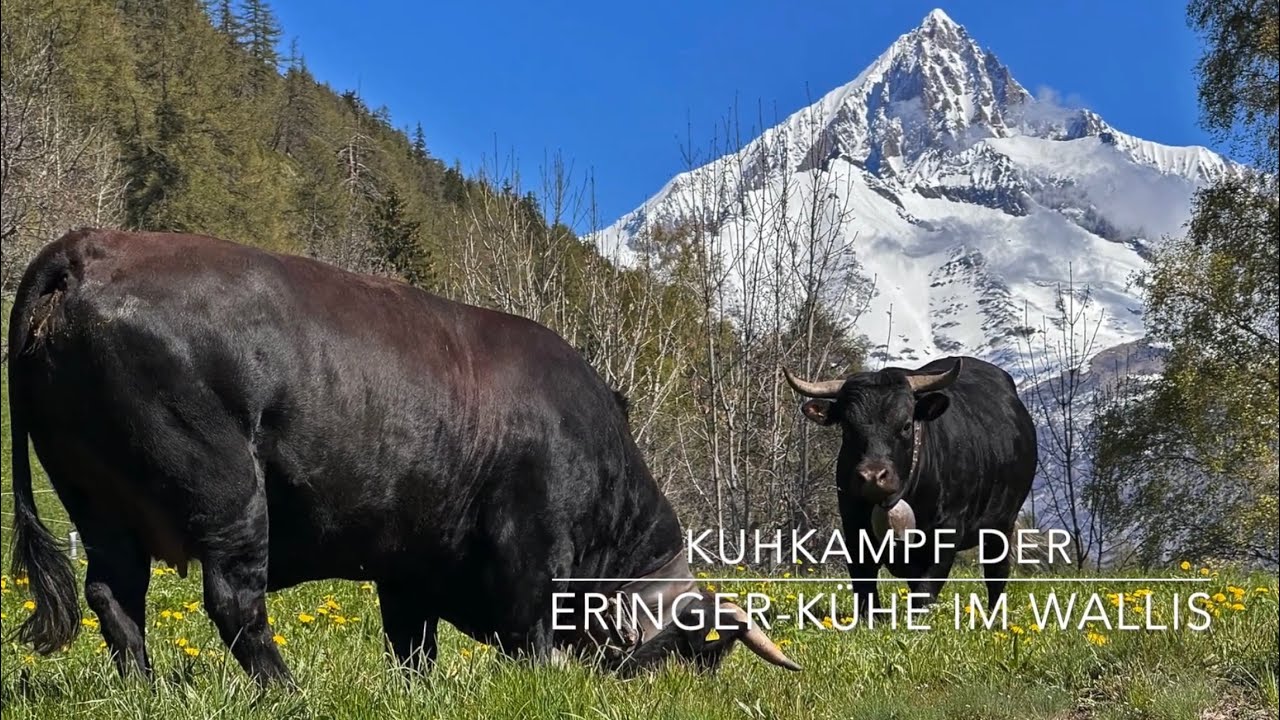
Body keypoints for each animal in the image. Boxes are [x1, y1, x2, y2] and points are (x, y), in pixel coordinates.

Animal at [7, 228, 800, 686]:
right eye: (696, 654)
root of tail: (86, 249)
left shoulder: (409, 564)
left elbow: (413, 646)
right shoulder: (532, 548)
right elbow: (532, 637)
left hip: (96, 501)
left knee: (115, 596)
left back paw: (146, 688)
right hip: (227, 492)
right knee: (234, 601)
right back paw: (286, 690)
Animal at [781, 357, 1036, 614]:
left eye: (905, 425)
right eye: (847, 426)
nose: (872, 476)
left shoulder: (948, 530)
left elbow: (926, 589)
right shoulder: (853, 529)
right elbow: (864, 586)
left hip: (1003, 525)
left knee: (996, 574)